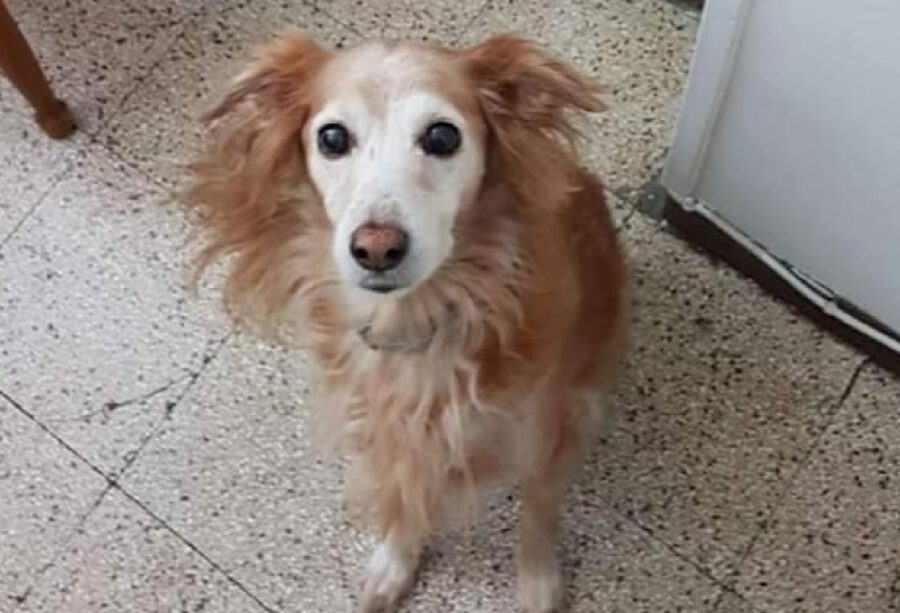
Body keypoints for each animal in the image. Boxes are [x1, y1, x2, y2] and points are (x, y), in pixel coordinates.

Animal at [185, 33, 624, 612]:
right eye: (331, 137)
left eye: (441, 135)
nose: (376, 248)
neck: (419, 323)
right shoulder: (388, 431)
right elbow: (403, 496)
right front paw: (395, 562)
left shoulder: (542, 443)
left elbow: (536, 521)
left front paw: (536, 583)